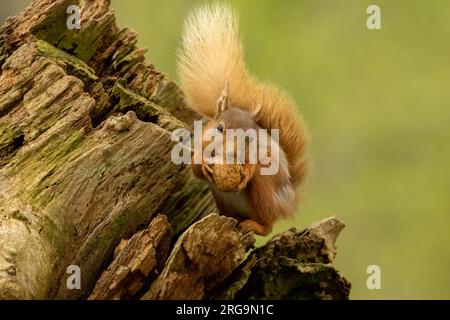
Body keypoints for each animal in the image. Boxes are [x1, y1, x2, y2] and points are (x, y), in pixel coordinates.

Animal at [178, 3, 308, 236]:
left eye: (250, 138)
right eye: (219, 128)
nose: (231, 154)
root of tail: (290, 200)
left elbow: (253, 164)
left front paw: (246, 173)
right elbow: (195, 167)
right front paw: (205, 165)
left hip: (265, 189)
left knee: (268, 226)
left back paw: (253, 225)